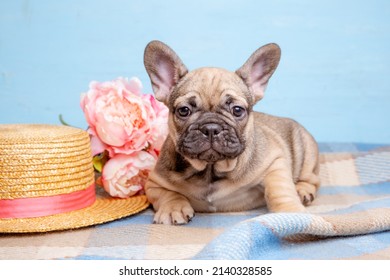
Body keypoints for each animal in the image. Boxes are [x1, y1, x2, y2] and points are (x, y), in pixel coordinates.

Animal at [143, 40, 320, 224]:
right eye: (184, 111)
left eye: (237, 110)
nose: (211, 128)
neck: (210, 170)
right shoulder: (153, 183)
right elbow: (168, 194)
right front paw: (173, 208)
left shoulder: (274, 162)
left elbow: (279, 188)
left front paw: (290, 211)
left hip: (307, 153)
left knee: (311, 179)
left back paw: (302, 190)